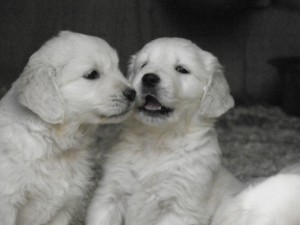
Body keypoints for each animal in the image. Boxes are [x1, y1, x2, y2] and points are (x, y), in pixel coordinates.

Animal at [85, 37, 243, 224]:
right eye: (144, 65)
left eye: (181, 69)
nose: (149, 78)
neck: (157, 141)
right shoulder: (110, 194)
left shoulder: (179, 208)